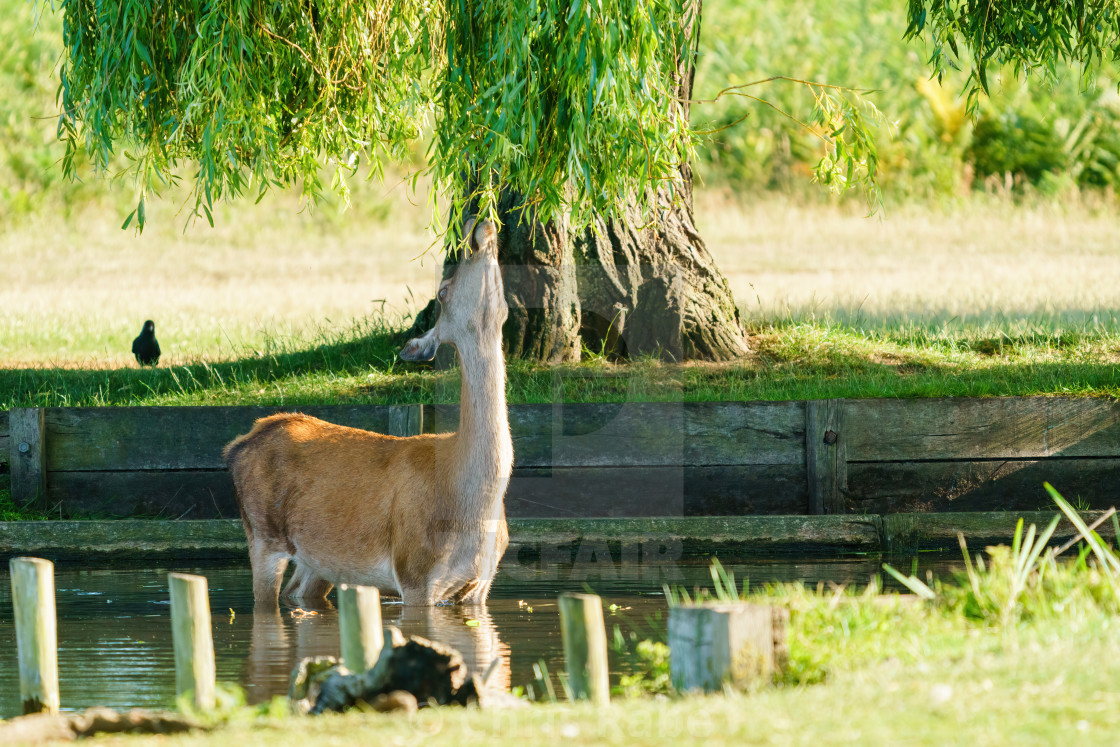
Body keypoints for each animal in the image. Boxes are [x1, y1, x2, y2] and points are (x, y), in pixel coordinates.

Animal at [222, 216, 512, 609]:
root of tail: (238, 444)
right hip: (261, 534)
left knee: (297, 593)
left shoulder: (481, 584)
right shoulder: (415, 571)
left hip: (320, 560)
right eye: (443, 290)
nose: (474, 222)